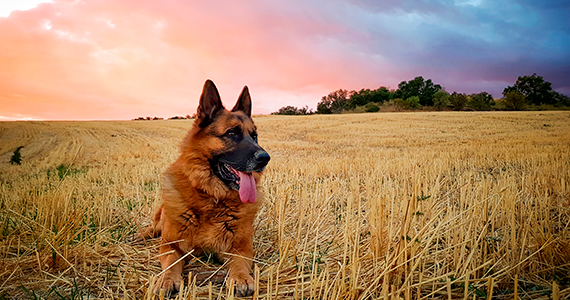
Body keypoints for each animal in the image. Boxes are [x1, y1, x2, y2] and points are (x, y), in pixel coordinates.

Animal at [145, 79, 272, 296]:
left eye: (254, 136)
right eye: (231, 133)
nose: (265, 158)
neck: (211, 198)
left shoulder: (241, 248)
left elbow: (240, 263)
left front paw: (241, 278)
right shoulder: (172, 246)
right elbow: (171, 264)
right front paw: (167, 280)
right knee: (154, 227)